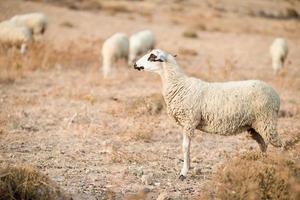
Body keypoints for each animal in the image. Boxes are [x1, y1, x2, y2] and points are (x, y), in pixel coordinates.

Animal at [133, 48, 284, 180]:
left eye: (152, 57)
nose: (135, 64)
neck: (180, 85)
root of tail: (275, 94)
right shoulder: (186, 123)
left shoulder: (189, 122)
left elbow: (185, 147)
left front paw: (183, 173)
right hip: (254, 126)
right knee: (263, 144)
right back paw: (262, 164)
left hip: (267, 120)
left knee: (281, 145)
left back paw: (283, 165)